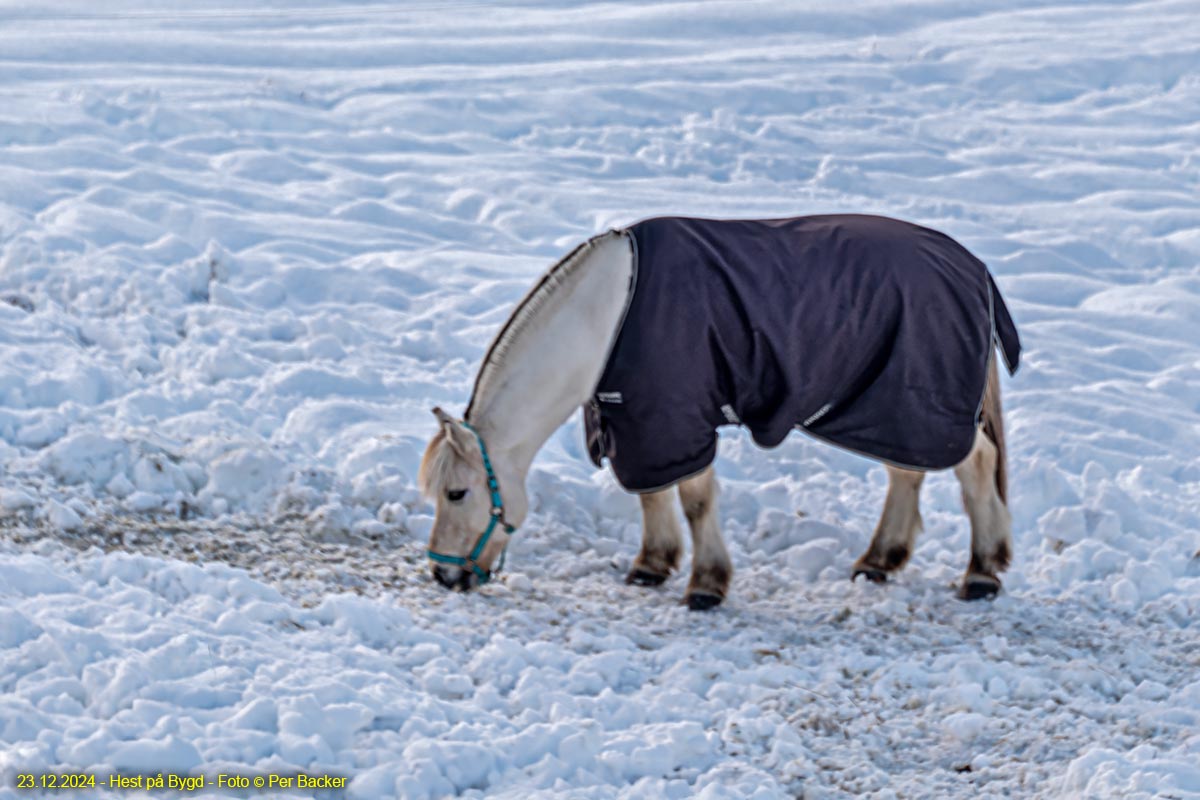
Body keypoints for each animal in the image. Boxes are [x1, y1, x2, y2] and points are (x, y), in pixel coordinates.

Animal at [417, 215, 1017, 609]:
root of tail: (975, 270)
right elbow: (650, 492)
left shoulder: (676, 416)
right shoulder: (636, 419)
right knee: (906, 470)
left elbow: (695, 499)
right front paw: (651, 565)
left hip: (919, 402)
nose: (443, 576)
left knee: (976, 466)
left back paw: (981, 574)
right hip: (887, 405)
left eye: (457, 493)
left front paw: (705, 585)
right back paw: (879, 562)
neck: (606, 315)